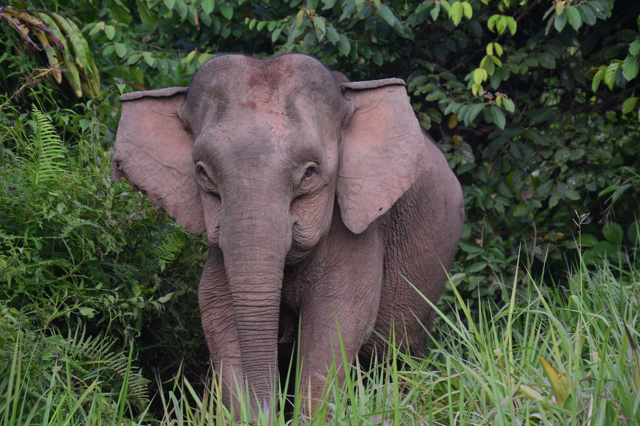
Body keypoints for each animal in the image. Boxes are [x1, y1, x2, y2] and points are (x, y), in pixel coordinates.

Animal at [112, 53, 464, 416]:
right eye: (202, 173)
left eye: (309, 173)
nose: (271, 409)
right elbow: (217, 311)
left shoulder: (356, 227)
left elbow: (337, 320)